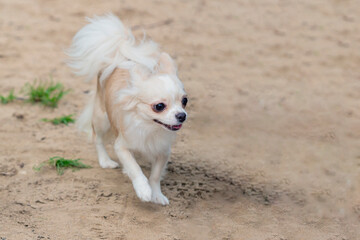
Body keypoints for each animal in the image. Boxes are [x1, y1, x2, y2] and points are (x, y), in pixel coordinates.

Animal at [66, 14, 188, 204]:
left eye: (184, 101)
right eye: (159, 106)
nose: (182, 115)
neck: (149, 127)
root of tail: (119, 56)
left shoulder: (162, 151)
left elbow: (155, 175)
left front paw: (156, 194)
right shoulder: (122, 146)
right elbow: (134, 168)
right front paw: (143, 190)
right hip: (102, 119)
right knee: (97, 139)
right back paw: (105, 161)